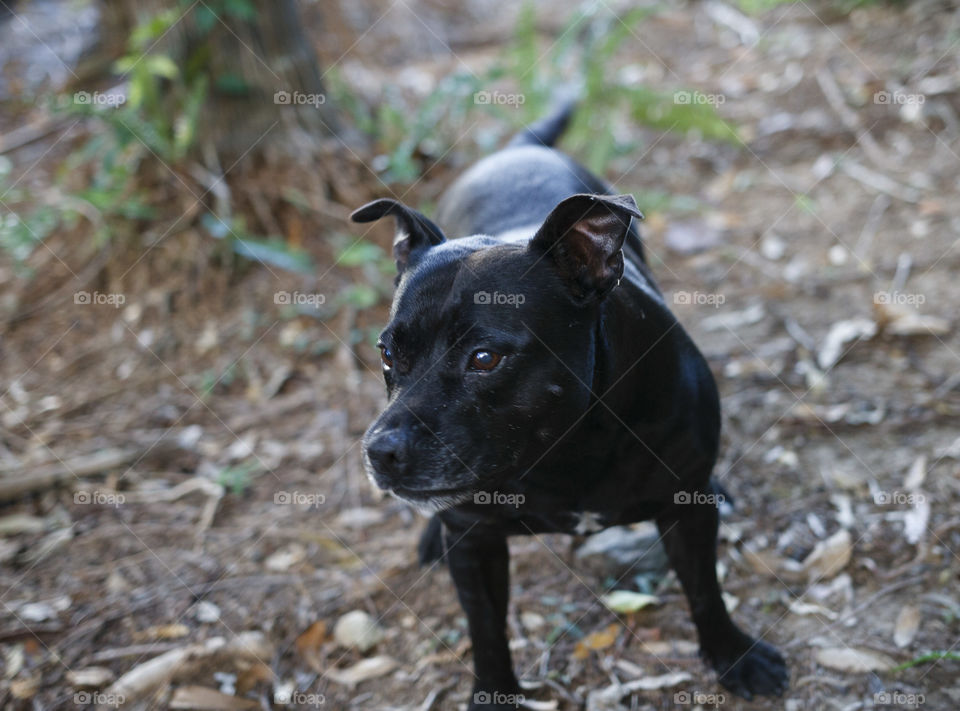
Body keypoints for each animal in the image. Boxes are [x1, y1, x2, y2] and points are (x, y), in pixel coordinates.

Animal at [352, 103, 788, 708]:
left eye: (485, 358)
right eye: (387, 353)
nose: (380, 451)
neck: (566, 449)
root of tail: (522, 148)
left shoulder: (686, 511)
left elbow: (705, 589)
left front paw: (733, 655)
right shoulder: (474, 539)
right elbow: (486, 629)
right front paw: (494, 693)